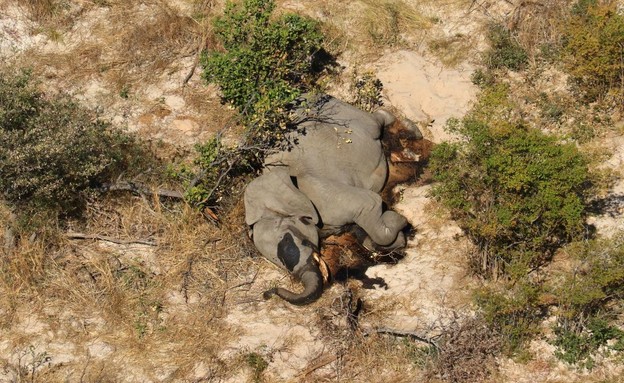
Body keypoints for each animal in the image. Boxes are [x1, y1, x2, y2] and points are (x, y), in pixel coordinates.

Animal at [244, 94, 410, 306]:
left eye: (299, 242)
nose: (266, 293)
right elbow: (360, 233)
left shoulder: (319, 193)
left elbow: (370, 203)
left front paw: (399, 222)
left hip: (344, 114)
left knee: (376, 122)